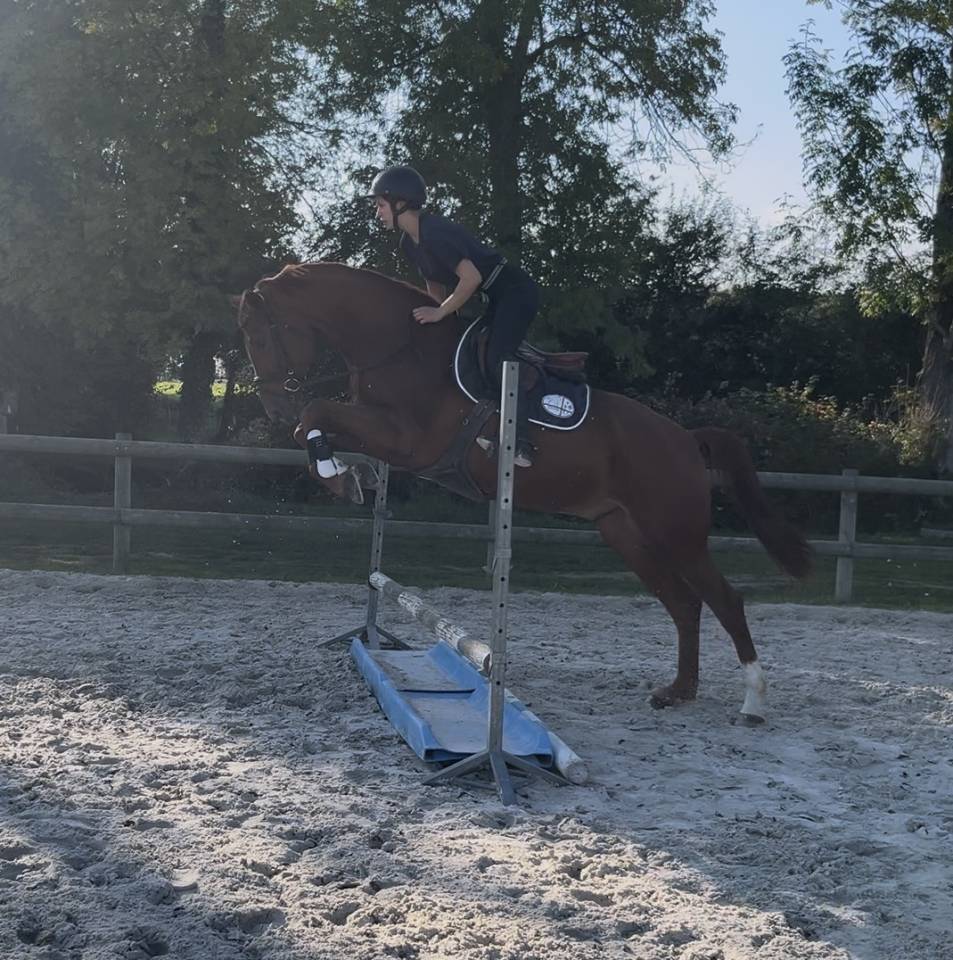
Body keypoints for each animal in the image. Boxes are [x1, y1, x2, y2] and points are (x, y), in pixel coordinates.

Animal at [235, 261, 812, 722]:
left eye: (258, 338)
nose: (271, 408)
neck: (398, 348)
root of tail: (687, 439)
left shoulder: (409, 440)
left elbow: (317, 413)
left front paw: (337, 473)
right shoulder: (379, 430)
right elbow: (318, 425)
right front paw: (349, 476)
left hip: (677, 534)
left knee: (725, 601)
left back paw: (753, 703)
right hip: (626, 535)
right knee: (685, 605)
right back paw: (678, 692)